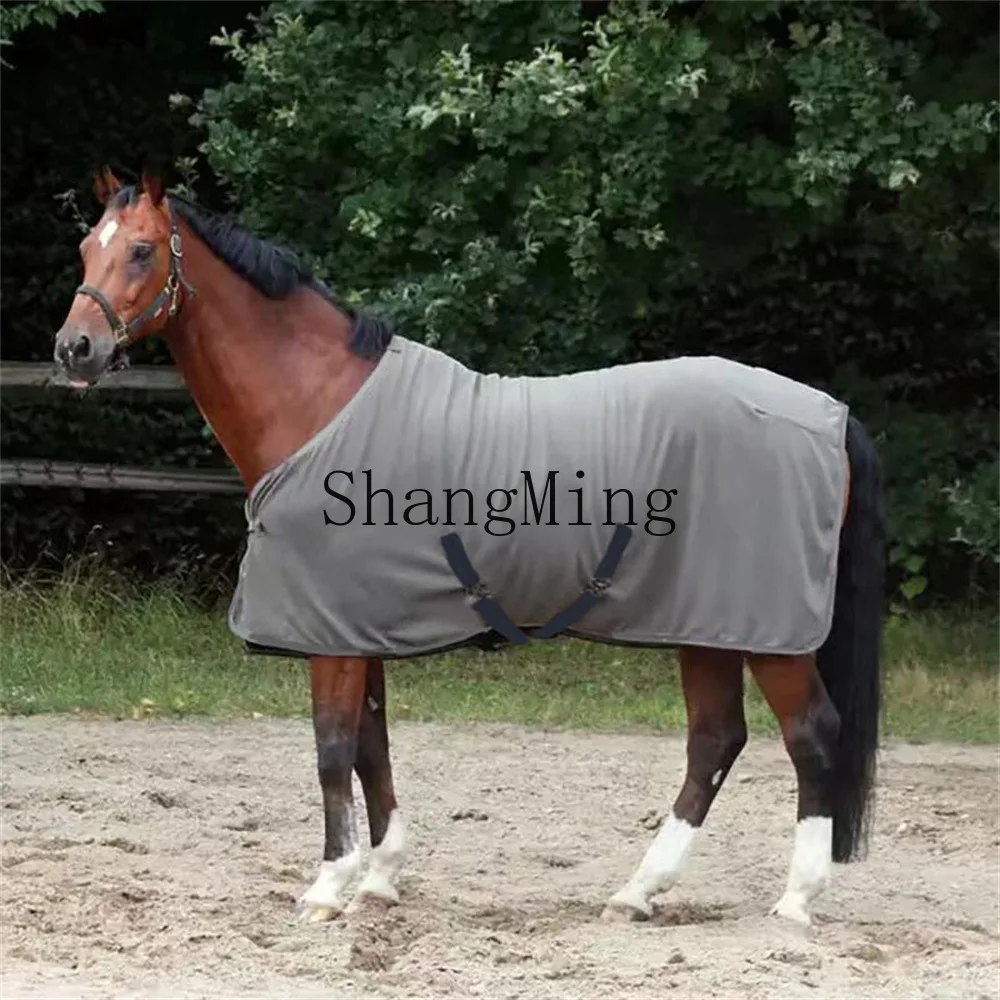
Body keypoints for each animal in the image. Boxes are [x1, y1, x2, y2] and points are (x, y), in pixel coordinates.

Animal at [53, 168, 885, 928]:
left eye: (141, 250)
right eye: (86, 248)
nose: (74, 348)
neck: (318, 403)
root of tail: (830, 414)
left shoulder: (331, 634)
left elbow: (332, 747)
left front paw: (328, 887)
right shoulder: (358, 624)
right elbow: (372, 745)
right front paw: (381, 879)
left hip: (769, 634)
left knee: (810, 735)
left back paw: (795, 900)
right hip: (707, 625)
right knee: (715, 741)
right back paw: (637, 892)